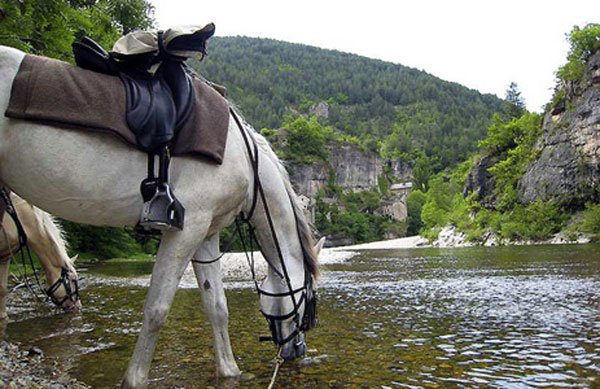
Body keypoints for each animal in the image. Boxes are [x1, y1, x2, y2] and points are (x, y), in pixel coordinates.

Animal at [0, 44, 324, 384]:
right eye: (310, 303)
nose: (297, 351)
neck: (242, 158)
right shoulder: (186, 228)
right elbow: (157, 310)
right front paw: (135, 379)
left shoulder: (206, 234)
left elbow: (217, 307)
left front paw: (229, 372)